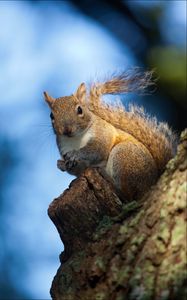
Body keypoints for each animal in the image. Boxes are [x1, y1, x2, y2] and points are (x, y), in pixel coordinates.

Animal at [43, 70, 177, 200]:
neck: (76, 139)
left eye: (80, 110)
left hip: (124, 156)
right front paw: (62, 164)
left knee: (128, 195)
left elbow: (96, 150)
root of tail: (151, 184)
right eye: (51, 116)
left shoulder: (103, 133)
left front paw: (75, 154)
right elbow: (78, 170)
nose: (67, 130)